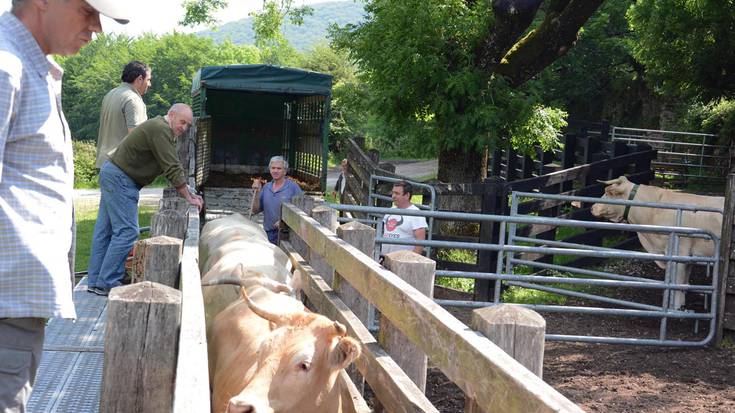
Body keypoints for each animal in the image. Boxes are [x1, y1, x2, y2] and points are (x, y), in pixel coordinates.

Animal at [588, 175, 720, 308]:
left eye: (608, 192)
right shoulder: (689, 256)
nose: (592, 208)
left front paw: (675, 307)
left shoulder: (680, 252)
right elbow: (684, 282)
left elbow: (677, 283)